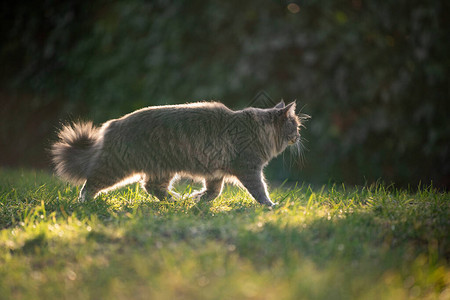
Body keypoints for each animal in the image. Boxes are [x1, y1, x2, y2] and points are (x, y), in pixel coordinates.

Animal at [51, 101, 306, 206]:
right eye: (295, 125)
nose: (299, 135)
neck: (256, 130)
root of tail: (111, 124)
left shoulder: (216, 173)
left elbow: (214, 192)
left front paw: (197, 199)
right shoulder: (249, 169)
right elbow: (260, 191)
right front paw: (270, 205)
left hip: (162, 169)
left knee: (151, 187)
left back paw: (176, 200)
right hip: (116, 168)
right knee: (90, 184)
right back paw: (85, 203)